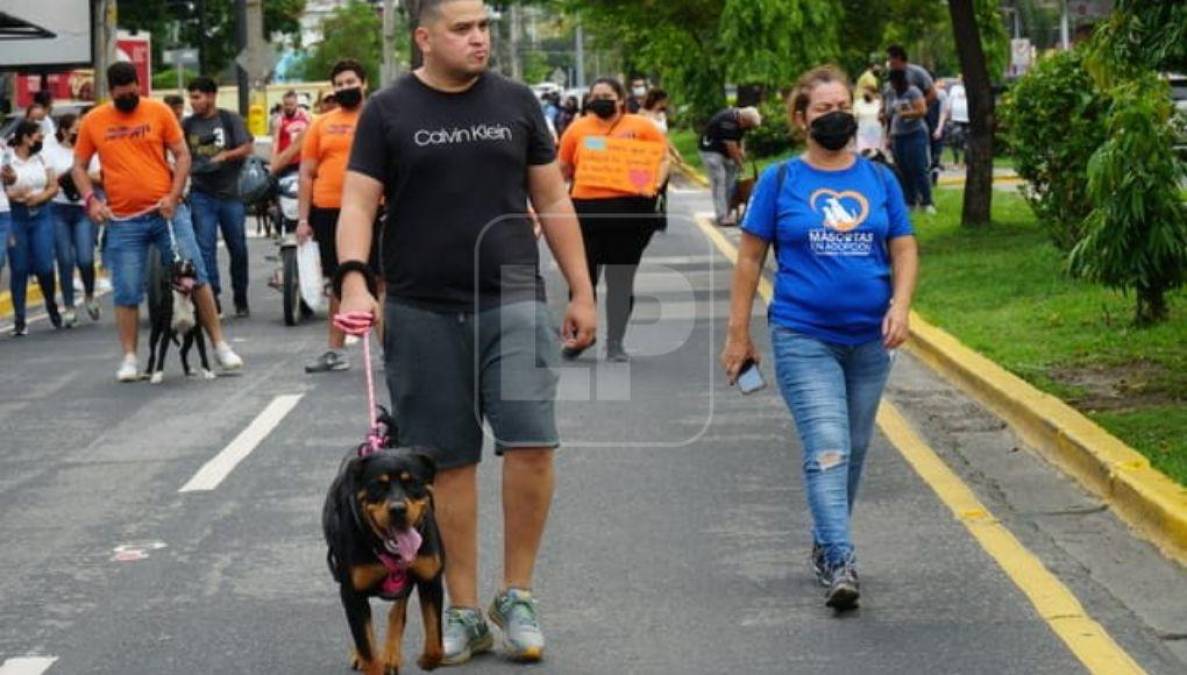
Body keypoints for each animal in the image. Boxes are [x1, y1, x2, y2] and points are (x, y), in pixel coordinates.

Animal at [325, 410, 446, 673]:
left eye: (412, 482)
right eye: (377, 486)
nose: (398, 509)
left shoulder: (430, 578)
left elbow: (436, 644)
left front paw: (426, 660)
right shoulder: (352, 593)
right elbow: (368, 648)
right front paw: (369, 659)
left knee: (398, 608)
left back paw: (391, 653)